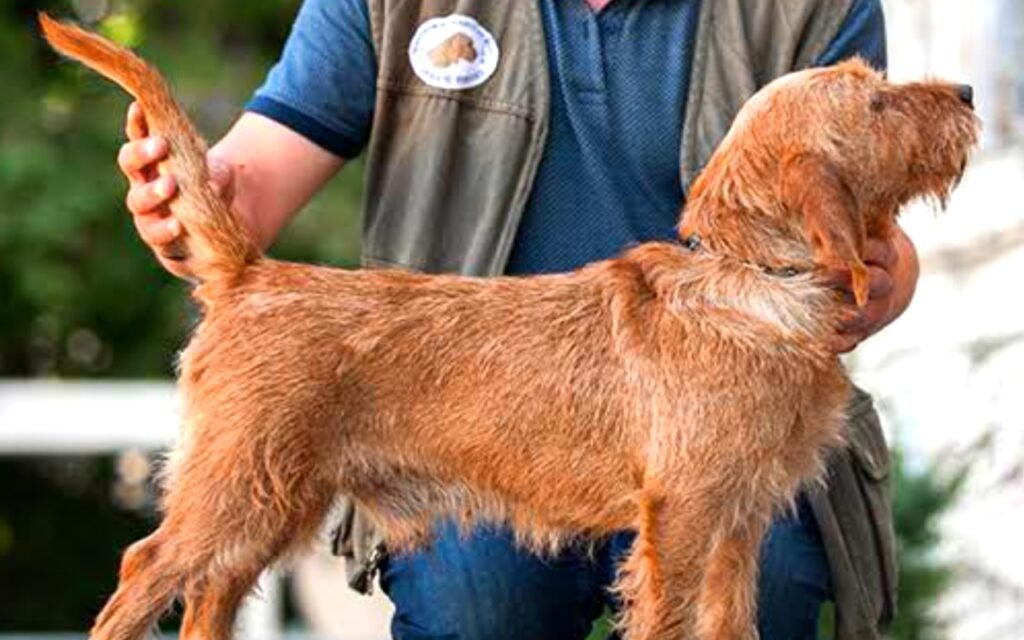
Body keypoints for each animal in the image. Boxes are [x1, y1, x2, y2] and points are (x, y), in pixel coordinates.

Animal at [39, 11, 978, 638]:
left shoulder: (737, 530)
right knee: (142, 572)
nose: (969, 89)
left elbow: (731, 625)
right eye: (876, 104)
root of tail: (250, 271)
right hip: (234, 488)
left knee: (208, 596)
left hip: (271, 502)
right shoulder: (681, 523)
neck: (748, 281)